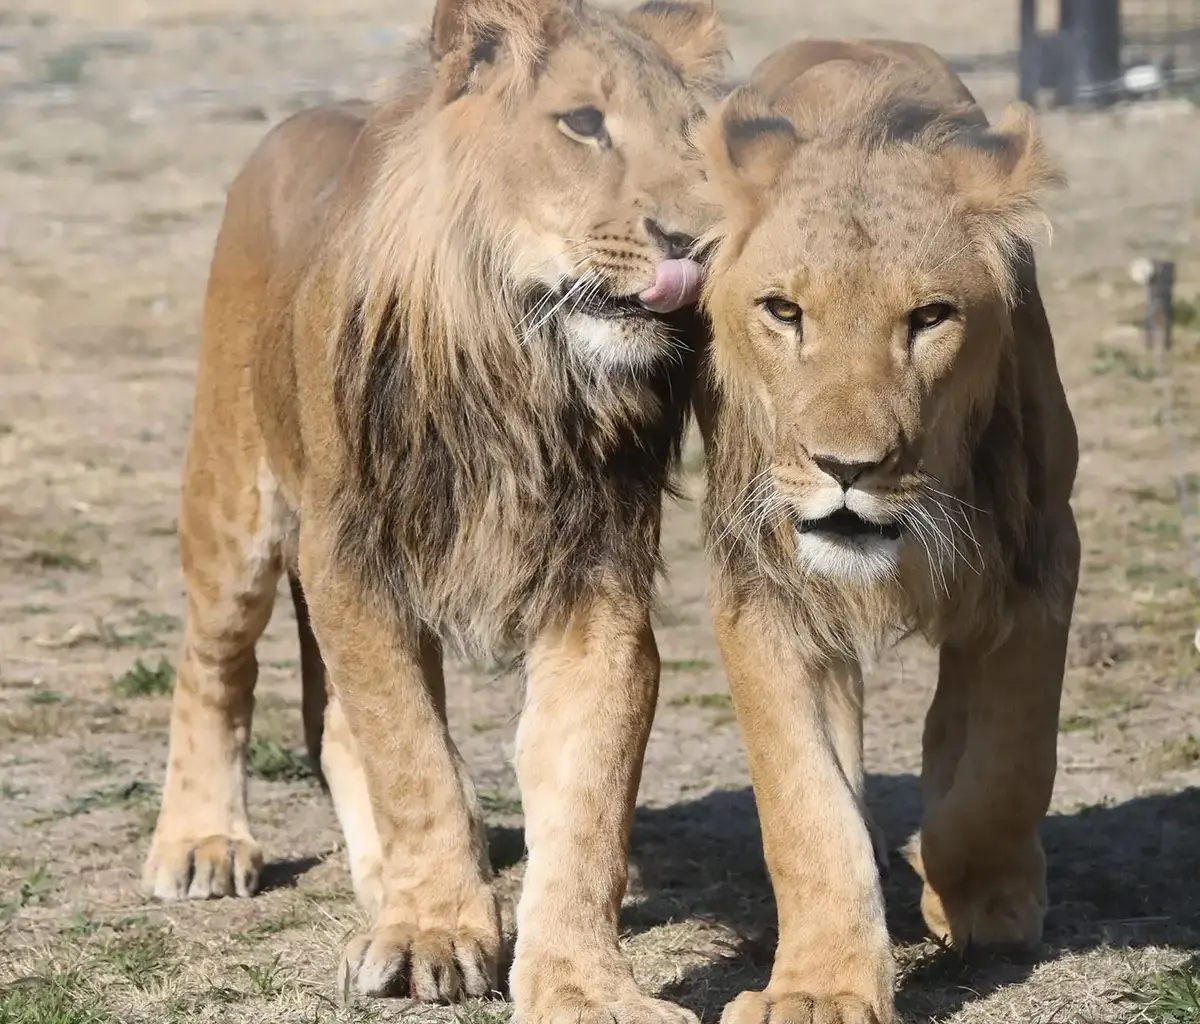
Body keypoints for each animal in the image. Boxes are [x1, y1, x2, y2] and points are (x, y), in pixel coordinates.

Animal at [140, 1, 726, 1019]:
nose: (698, 243)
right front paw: (432, 937)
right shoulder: (351, 559)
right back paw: (204, 843)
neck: (520, 371)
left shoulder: (599, 583)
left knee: (336, 726)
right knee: (213, 664)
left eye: (698, 134)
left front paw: (583, 983)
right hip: (234, 505)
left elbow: (586, 792)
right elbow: (410, 753)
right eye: (582, 123)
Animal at [692, 39, 1080, 1024]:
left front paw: (977, 898)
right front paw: (818, 990)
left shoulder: (1040, 558)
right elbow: (806, 810)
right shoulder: (762, 589)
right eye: (784, 312)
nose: (847, 467)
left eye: (930, 317)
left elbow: (1008, 762)